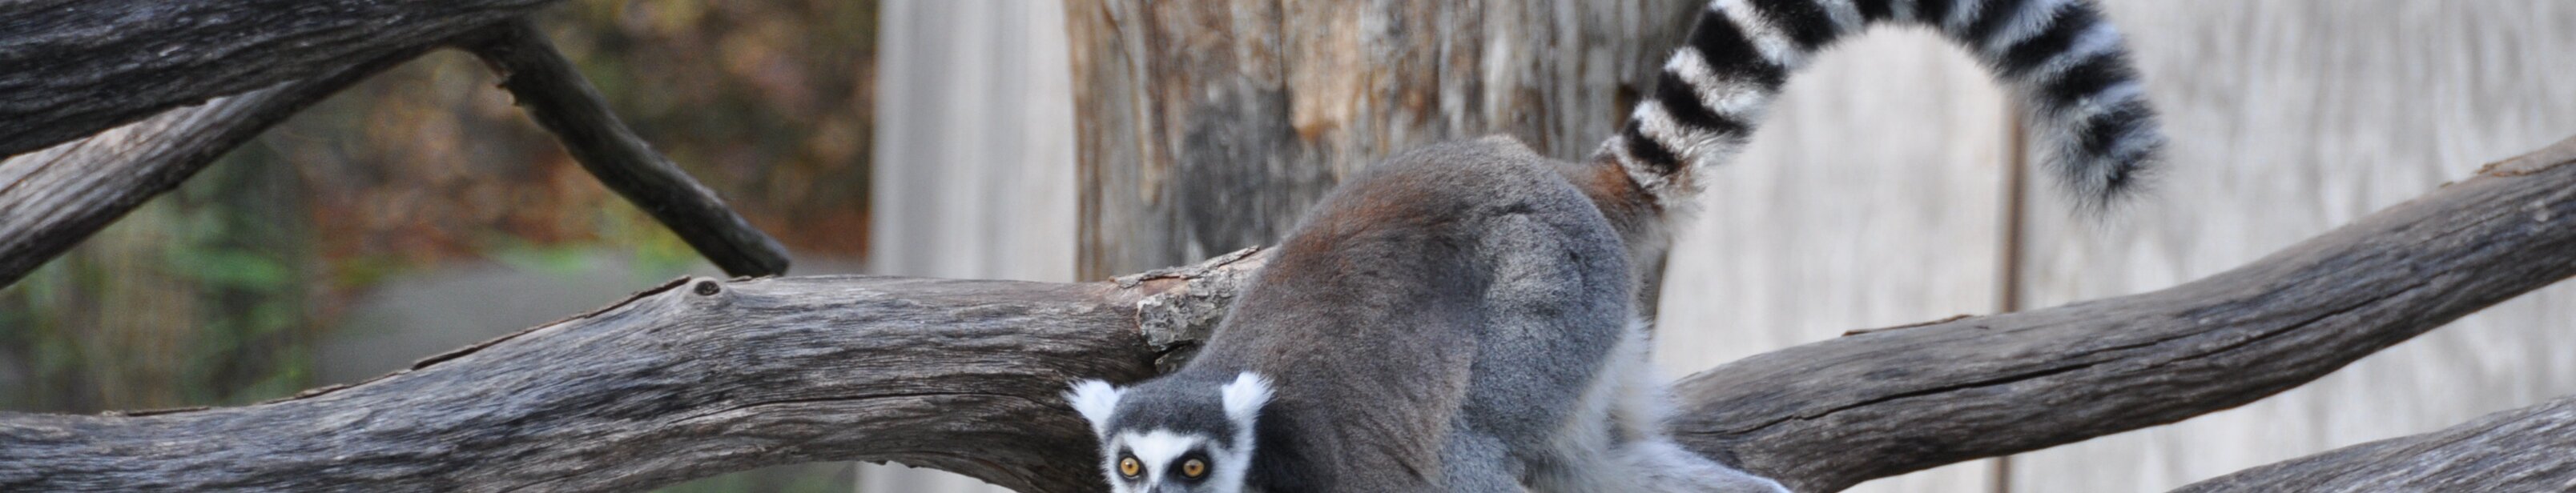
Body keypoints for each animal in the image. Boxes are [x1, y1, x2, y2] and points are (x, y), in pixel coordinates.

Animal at [1067, 0, 2161, 491]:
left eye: (1192, 470)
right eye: (1129, 467)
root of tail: (1554, 175)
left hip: (1548, 300)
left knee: (1482, 442)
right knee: (1595, 461)